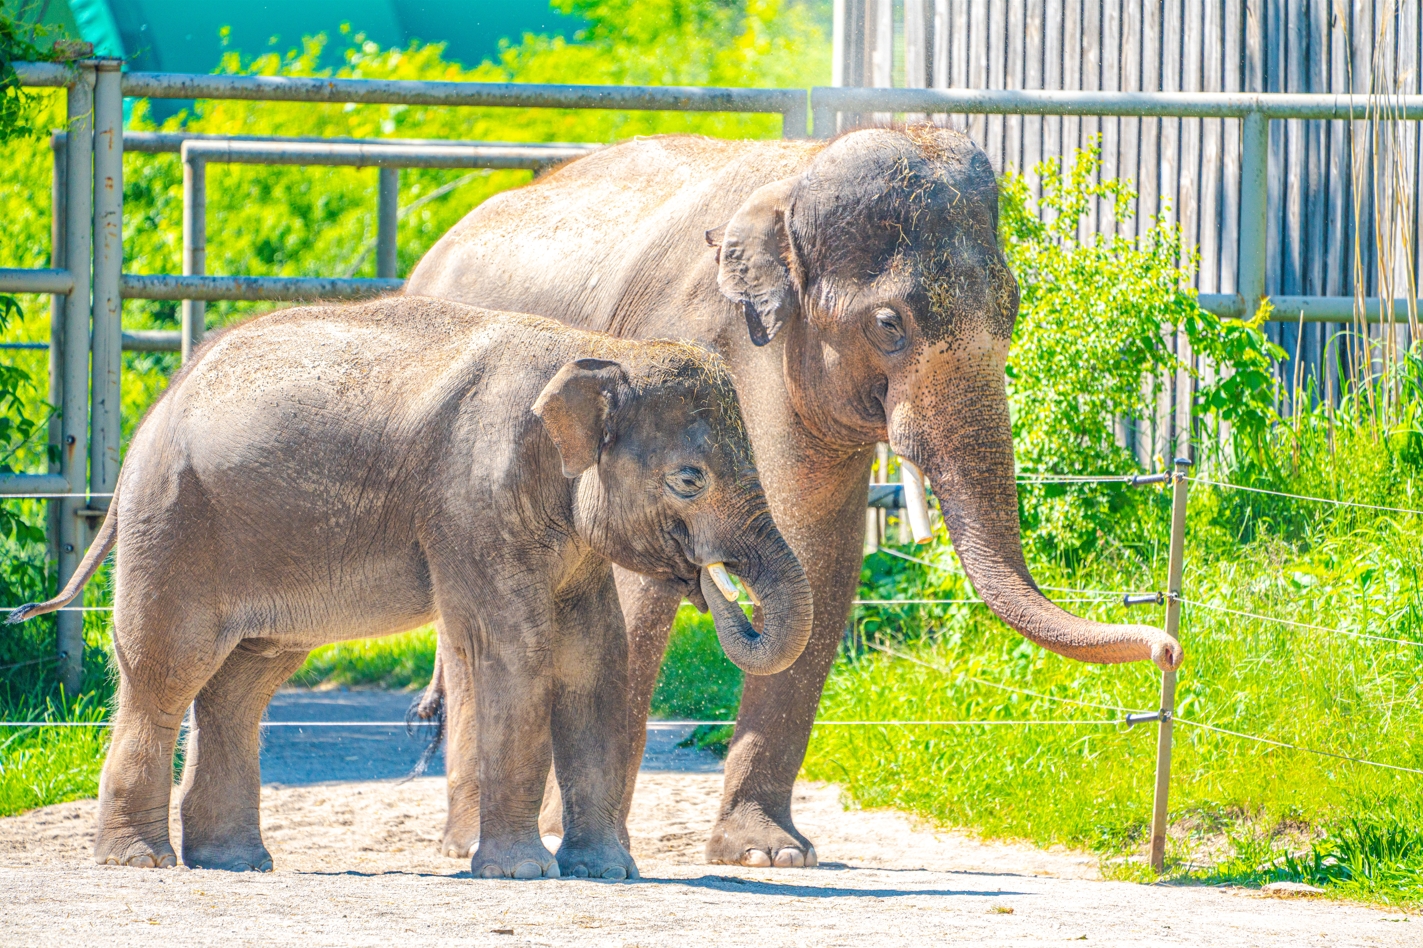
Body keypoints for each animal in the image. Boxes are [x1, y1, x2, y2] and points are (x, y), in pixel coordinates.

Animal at [8, 295, 813, 879]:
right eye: (689, 480)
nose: (710, 582)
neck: (591, 350)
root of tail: (153, 415)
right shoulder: (472, 498)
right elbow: (518, 651)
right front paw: (521, 876)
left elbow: (593, 659)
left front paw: (607, 875)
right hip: (173, 525)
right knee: (167, 672)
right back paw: (141, 862)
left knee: (243, 681)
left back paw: (236, 863)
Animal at [405, 126, 1183, 869]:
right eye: (889, 325)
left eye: (1013, 309)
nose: (1169, 650)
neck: (797, 174)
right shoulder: (676, 349)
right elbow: (636, 593)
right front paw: (577, 837)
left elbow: (823, 560)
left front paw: (768, 853)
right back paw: (467, 841)